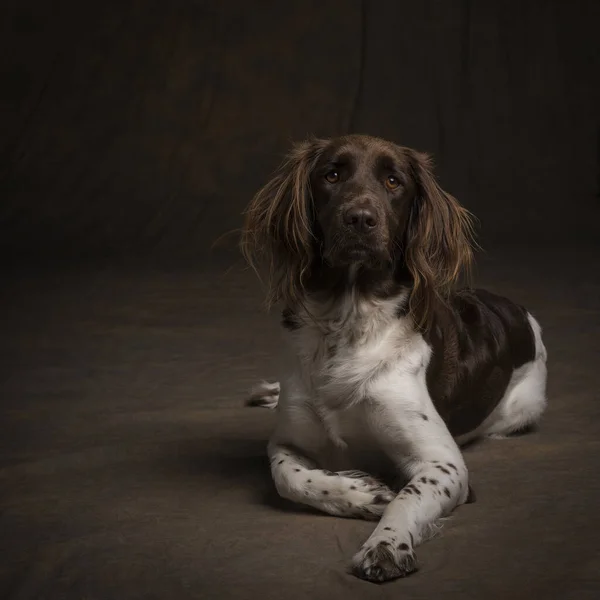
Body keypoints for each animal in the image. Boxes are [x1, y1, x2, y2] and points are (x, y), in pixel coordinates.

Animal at [240, 134, 548, 584]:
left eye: (392, 181)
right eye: (332, 175)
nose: (359, 218)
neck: (349, 322)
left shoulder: (445, 464)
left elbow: (407, 496)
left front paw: (386, 545)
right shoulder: (286, 441)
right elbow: (289, 478)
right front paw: (361, 492)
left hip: (523, 409)